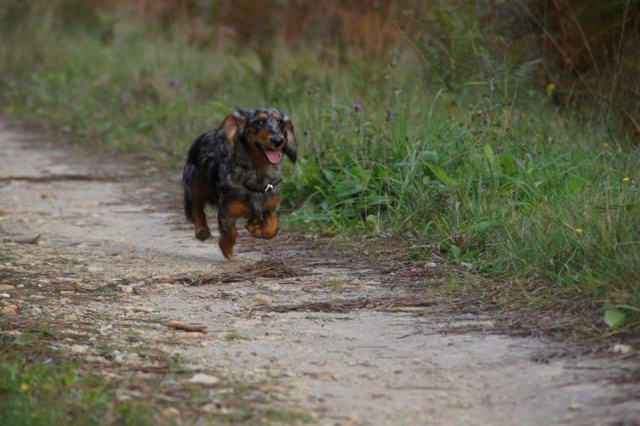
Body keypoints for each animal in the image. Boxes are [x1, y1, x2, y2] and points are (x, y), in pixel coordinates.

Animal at [182, 108, 298, 260]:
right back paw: (202, 231)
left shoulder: (272, 206)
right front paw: (227, 251)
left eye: (280, 122)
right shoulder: (227, 211)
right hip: (195, 185)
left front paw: (254, 227)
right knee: (197, 207)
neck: (257, 174)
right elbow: (231, 233)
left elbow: (271, 229)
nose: (278, 140)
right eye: (259, 122)